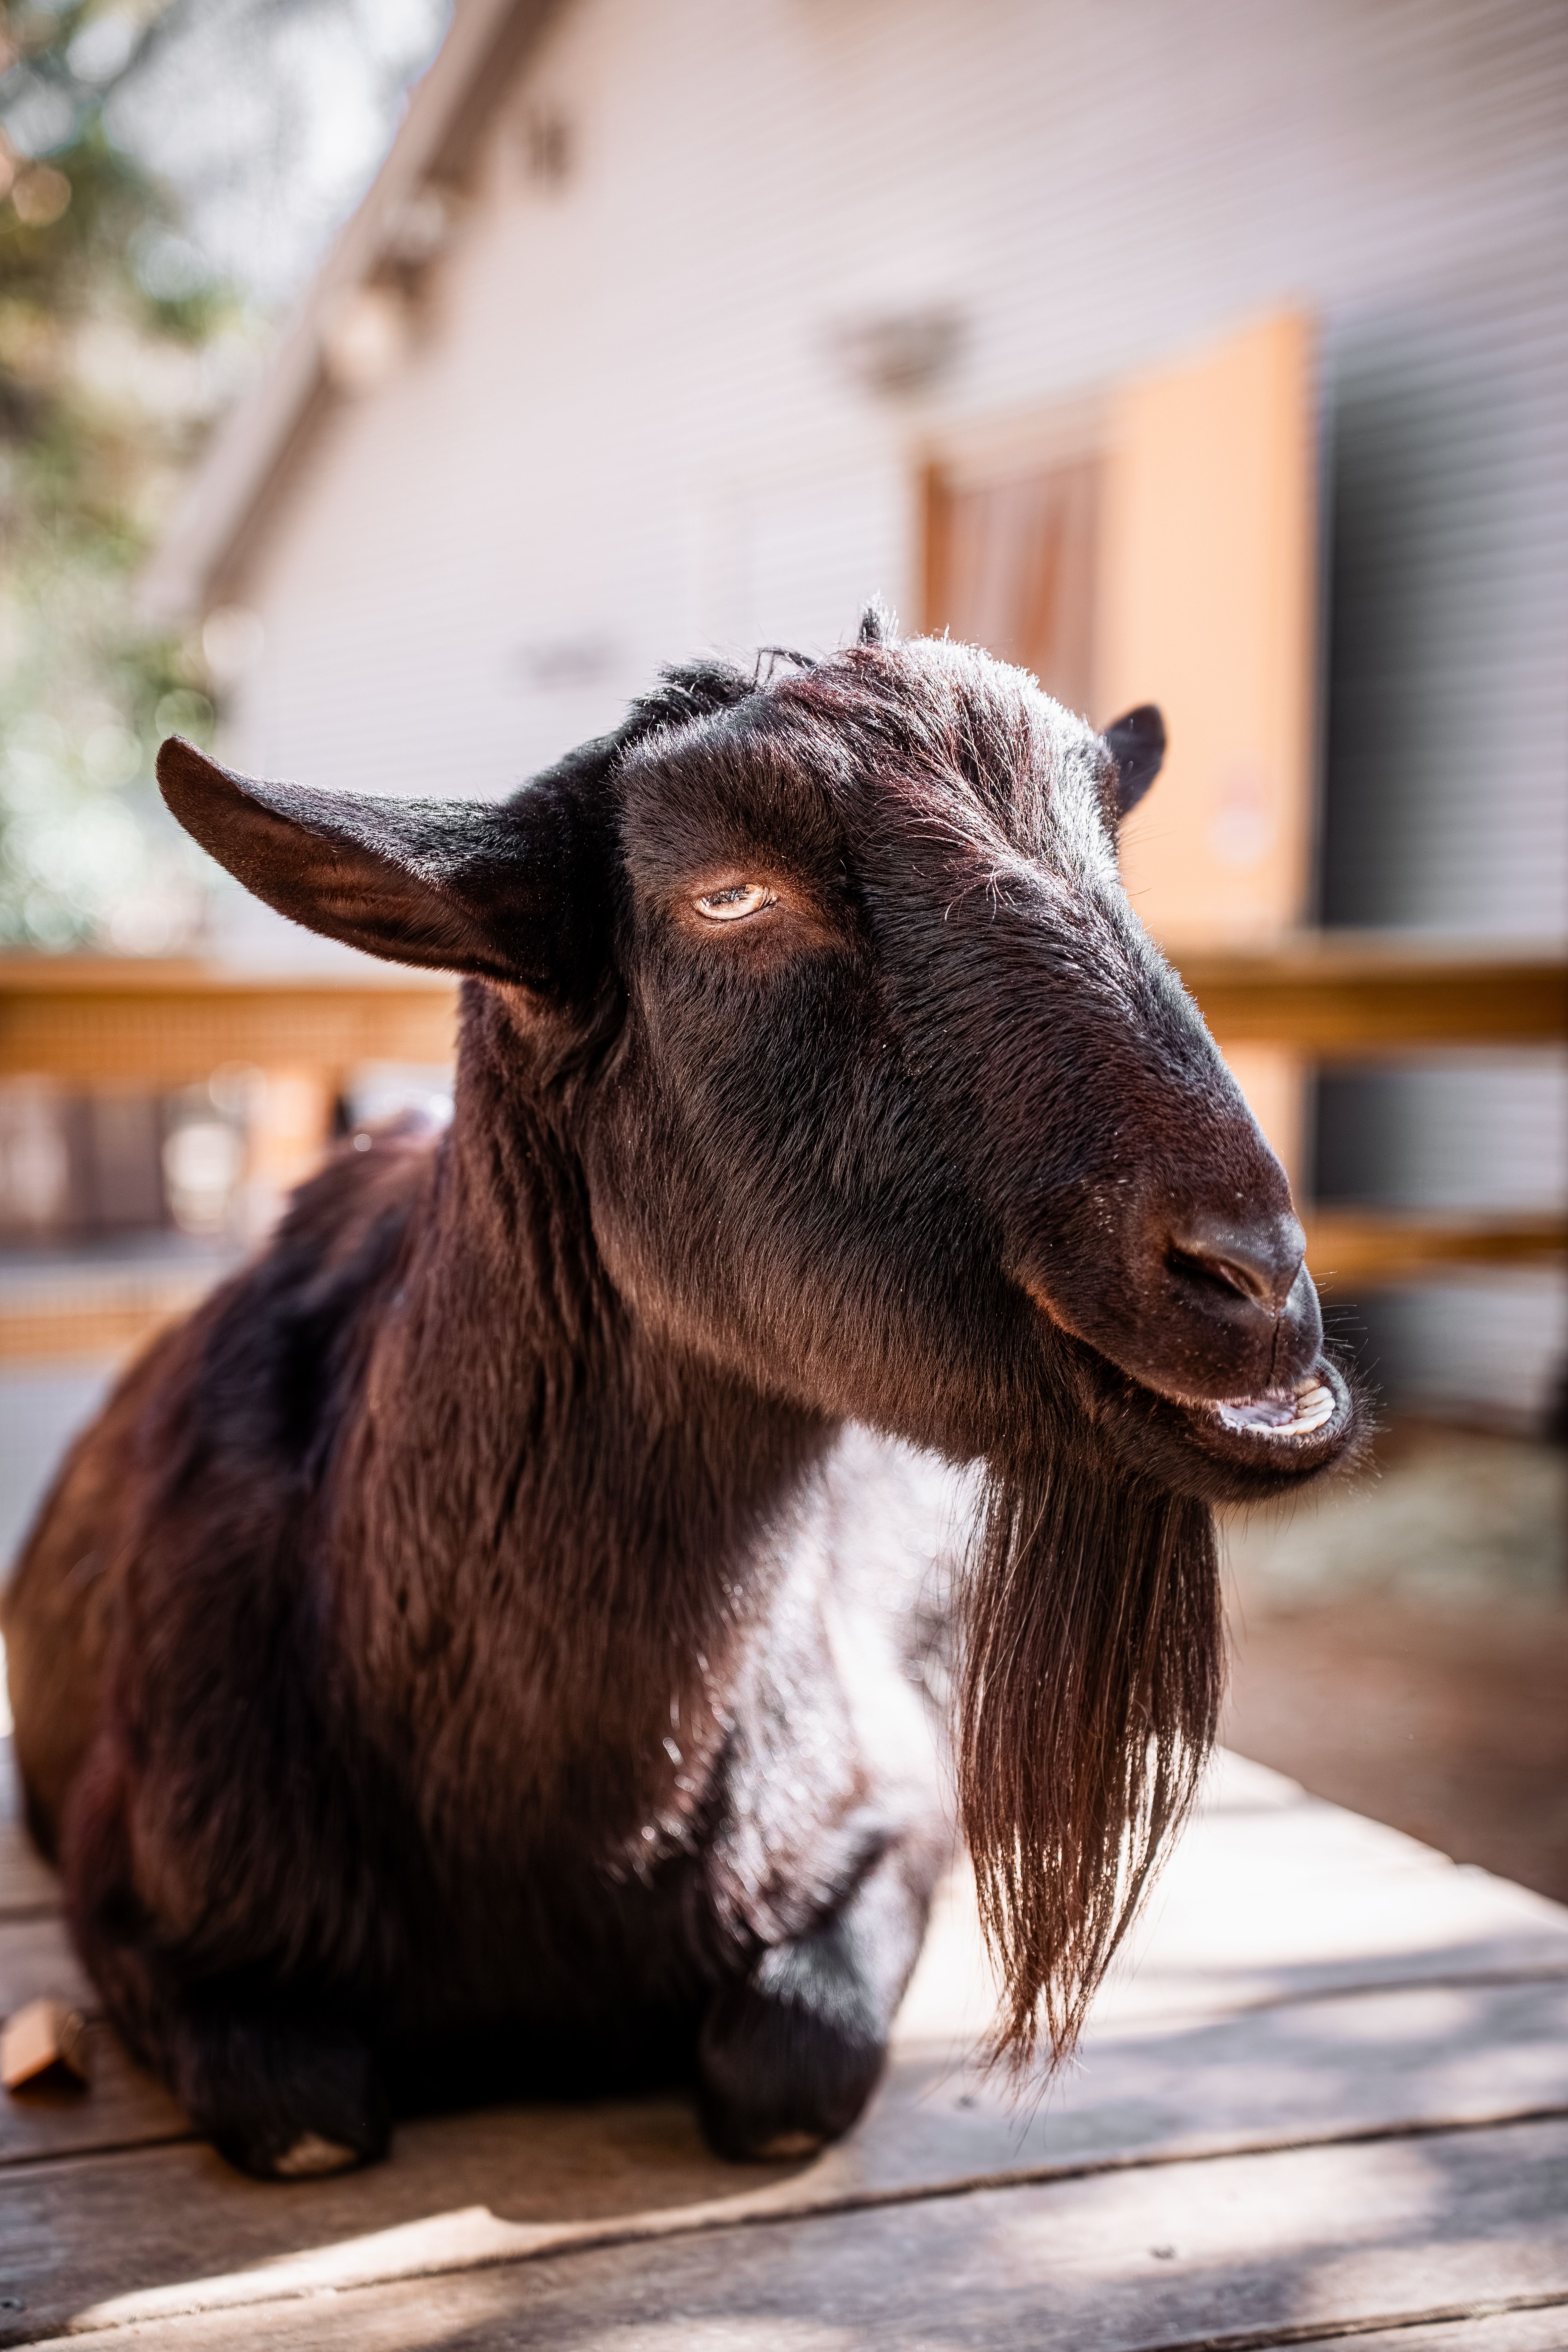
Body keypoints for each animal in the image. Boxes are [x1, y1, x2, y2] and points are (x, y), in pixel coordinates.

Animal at [3, 614, 1363, 2178]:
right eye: (728, 897)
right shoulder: (134, 1882)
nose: (1251, 1275)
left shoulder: (887, 1794)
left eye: (1107, 844)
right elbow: (307, 2122)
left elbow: (790, 2072)